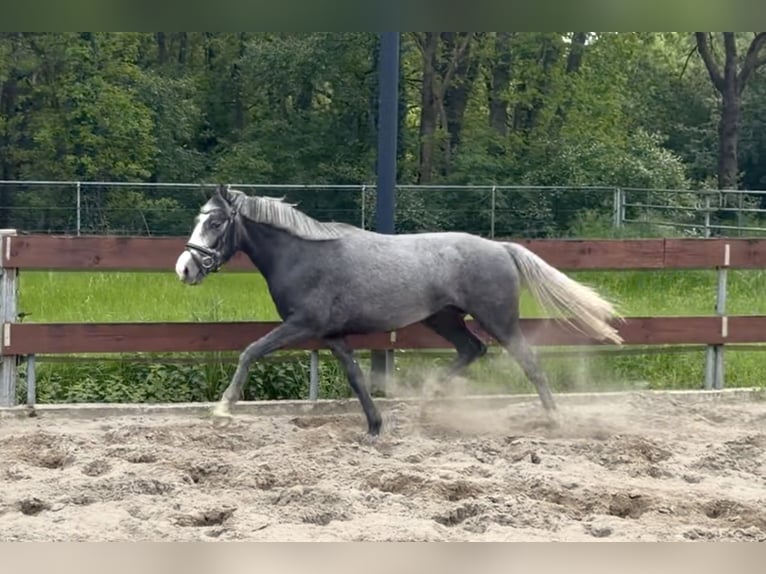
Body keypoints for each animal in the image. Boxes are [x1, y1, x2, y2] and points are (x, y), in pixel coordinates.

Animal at [175, 185, 623, 437]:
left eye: (215, 223)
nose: (185, 268)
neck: (303, 255)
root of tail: (501, 248)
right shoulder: (333, 335)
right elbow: (357, 378)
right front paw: (375, 427)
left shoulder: (302, 325)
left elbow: (249, 351)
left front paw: (223, 408)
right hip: (444, 318)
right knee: (472, 350)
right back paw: (426, 405)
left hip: (499, 320)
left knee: (529, 363)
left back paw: (555, 422)